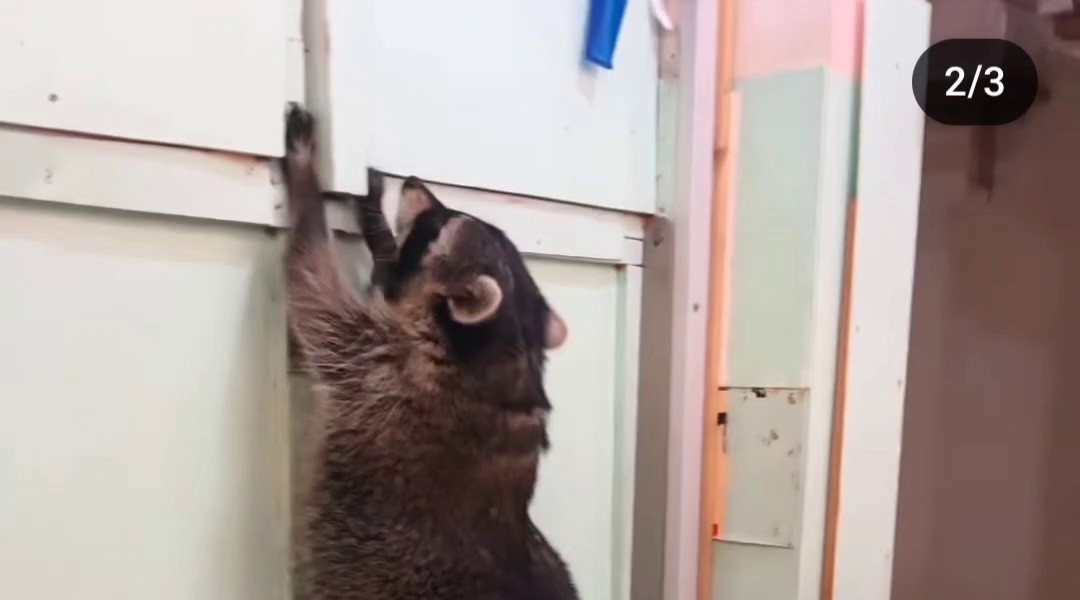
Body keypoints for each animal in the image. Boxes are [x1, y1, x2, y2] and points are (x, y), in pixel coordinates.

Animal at [282, 103, 579, 600]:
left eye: (440, 223)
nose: (414, 182)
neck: (507, 355)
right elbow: (384, 283)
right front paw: (379, 228)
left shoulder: (381, 365)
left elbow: (312, 285)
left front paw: (304, 180)